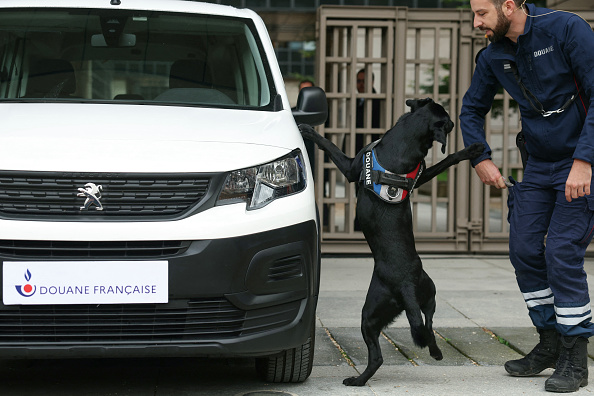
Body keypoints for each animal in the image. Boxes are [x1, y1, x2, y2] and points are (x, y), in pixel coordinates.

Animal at [298, 97, 484, 386]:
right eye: (447, 118)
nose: (455, 123)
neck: (404, 139)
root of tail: (405, 284)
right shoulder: (422, 175)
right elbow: (445, 162)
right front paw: (470, 149)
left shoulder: (350, 168)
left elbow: (330, 146)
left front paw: (308, 130)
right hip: (427, 293)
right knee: (427, 324)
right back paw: (435, 351)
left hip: (369, 314)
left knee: (379, 356)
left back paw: (357, 381)